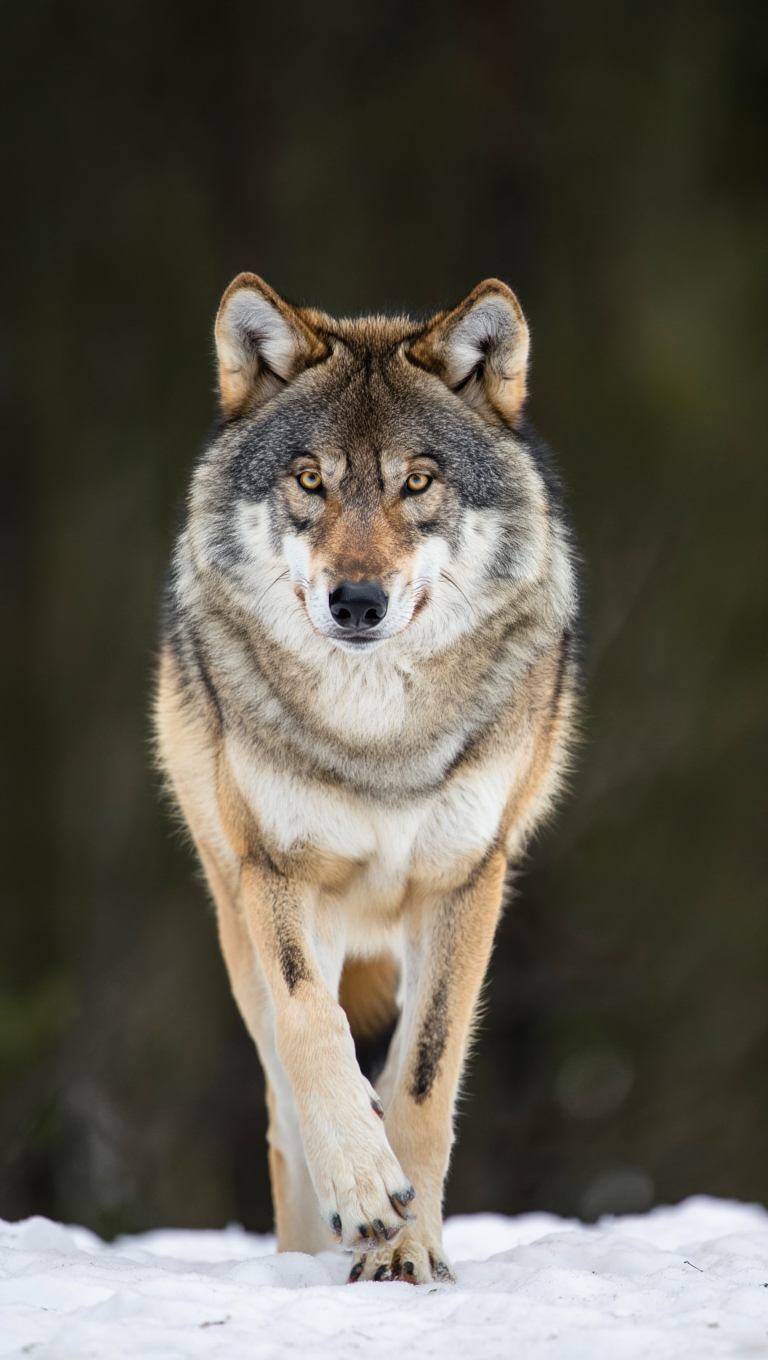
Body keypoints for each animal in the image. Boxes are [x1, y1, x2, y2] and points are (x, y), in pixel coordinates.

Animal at [154, 272, 580, 1284]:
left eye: (416, 482)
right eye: (311, 479)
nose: (356, 601)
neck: (376, 738)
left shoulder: (467, 879)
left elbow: (424, 1074)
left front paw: (410, 1250)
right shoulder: (277, 870)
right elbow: (315, 1028)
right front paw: (360, 1188)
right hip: (239, 920)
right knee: (287, 1095)